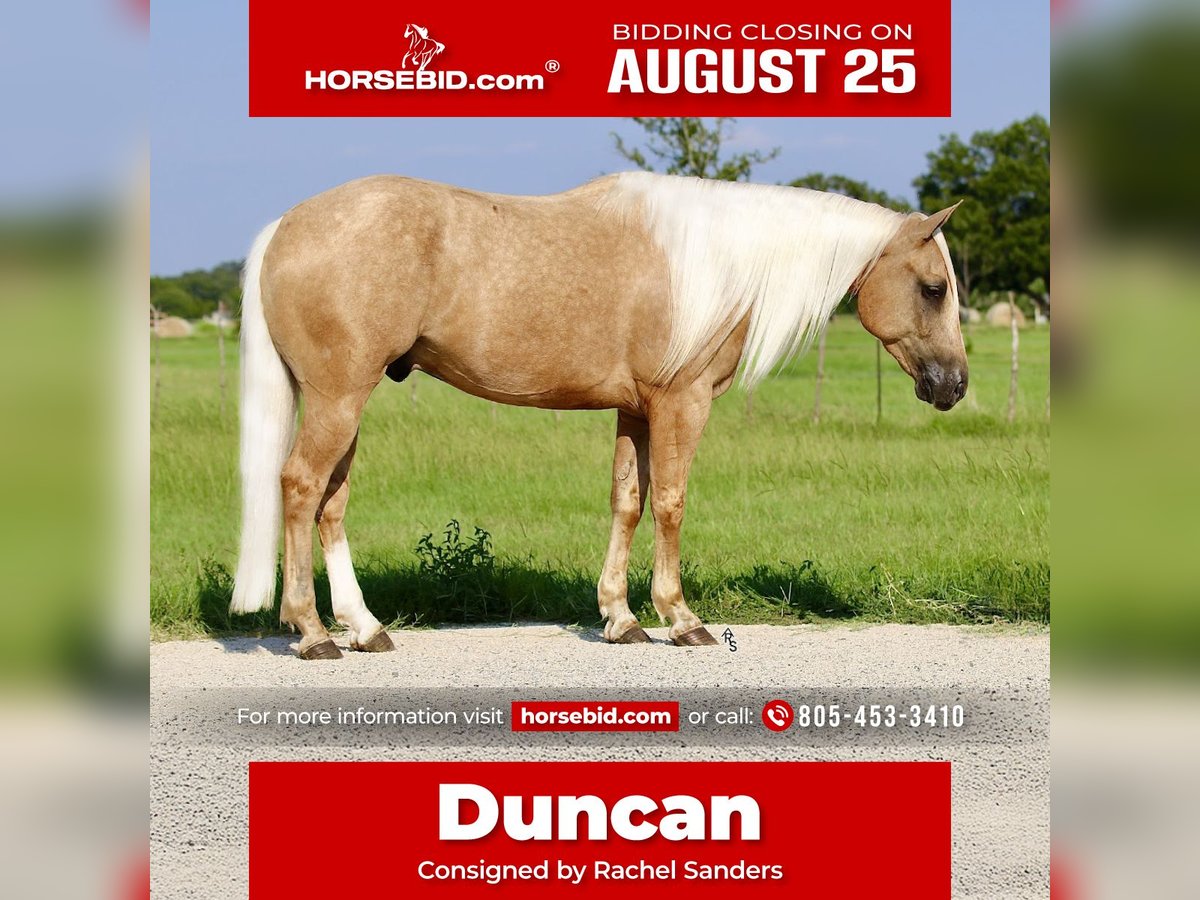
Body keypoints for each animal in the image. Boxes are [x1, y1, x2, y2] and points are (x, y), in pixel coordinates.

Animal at [230, 173, 967, 660]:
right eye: (934, 289)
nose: (955, 385)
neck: (716, 263)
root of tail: (285, 227)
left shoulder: (635, 411)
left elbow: (628, 503)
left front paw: (620, 618)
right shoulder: (681, 403)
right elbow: (670, 502)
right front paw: (680, 618)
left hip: (346, 405)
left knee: (331, 503)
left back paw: (365, 628)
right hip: (337, 399)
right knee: (300, 487)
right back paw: (312, 633)